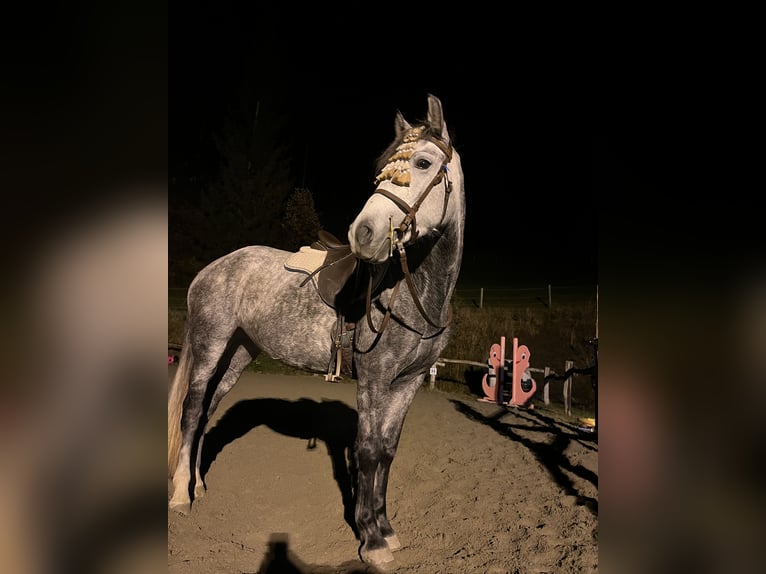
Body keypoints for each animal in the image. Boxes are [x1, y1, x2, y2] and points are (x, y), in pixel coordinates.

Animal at [168, 94, 465, 568]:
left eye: (422, 163)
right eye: (383, 169)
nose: (364, 232)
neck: (415, 292)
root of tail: (212, 269)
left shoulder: (409, 382)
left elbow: (387, 451)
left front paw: (386, 530)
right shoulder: (374, 380)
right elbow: (367, 451)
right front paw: (371, 540)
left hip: (239, 352)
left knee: (210, 408)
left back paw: (199, 484)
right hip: (210, 344)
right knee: (193, 410)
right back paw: (181, 496)